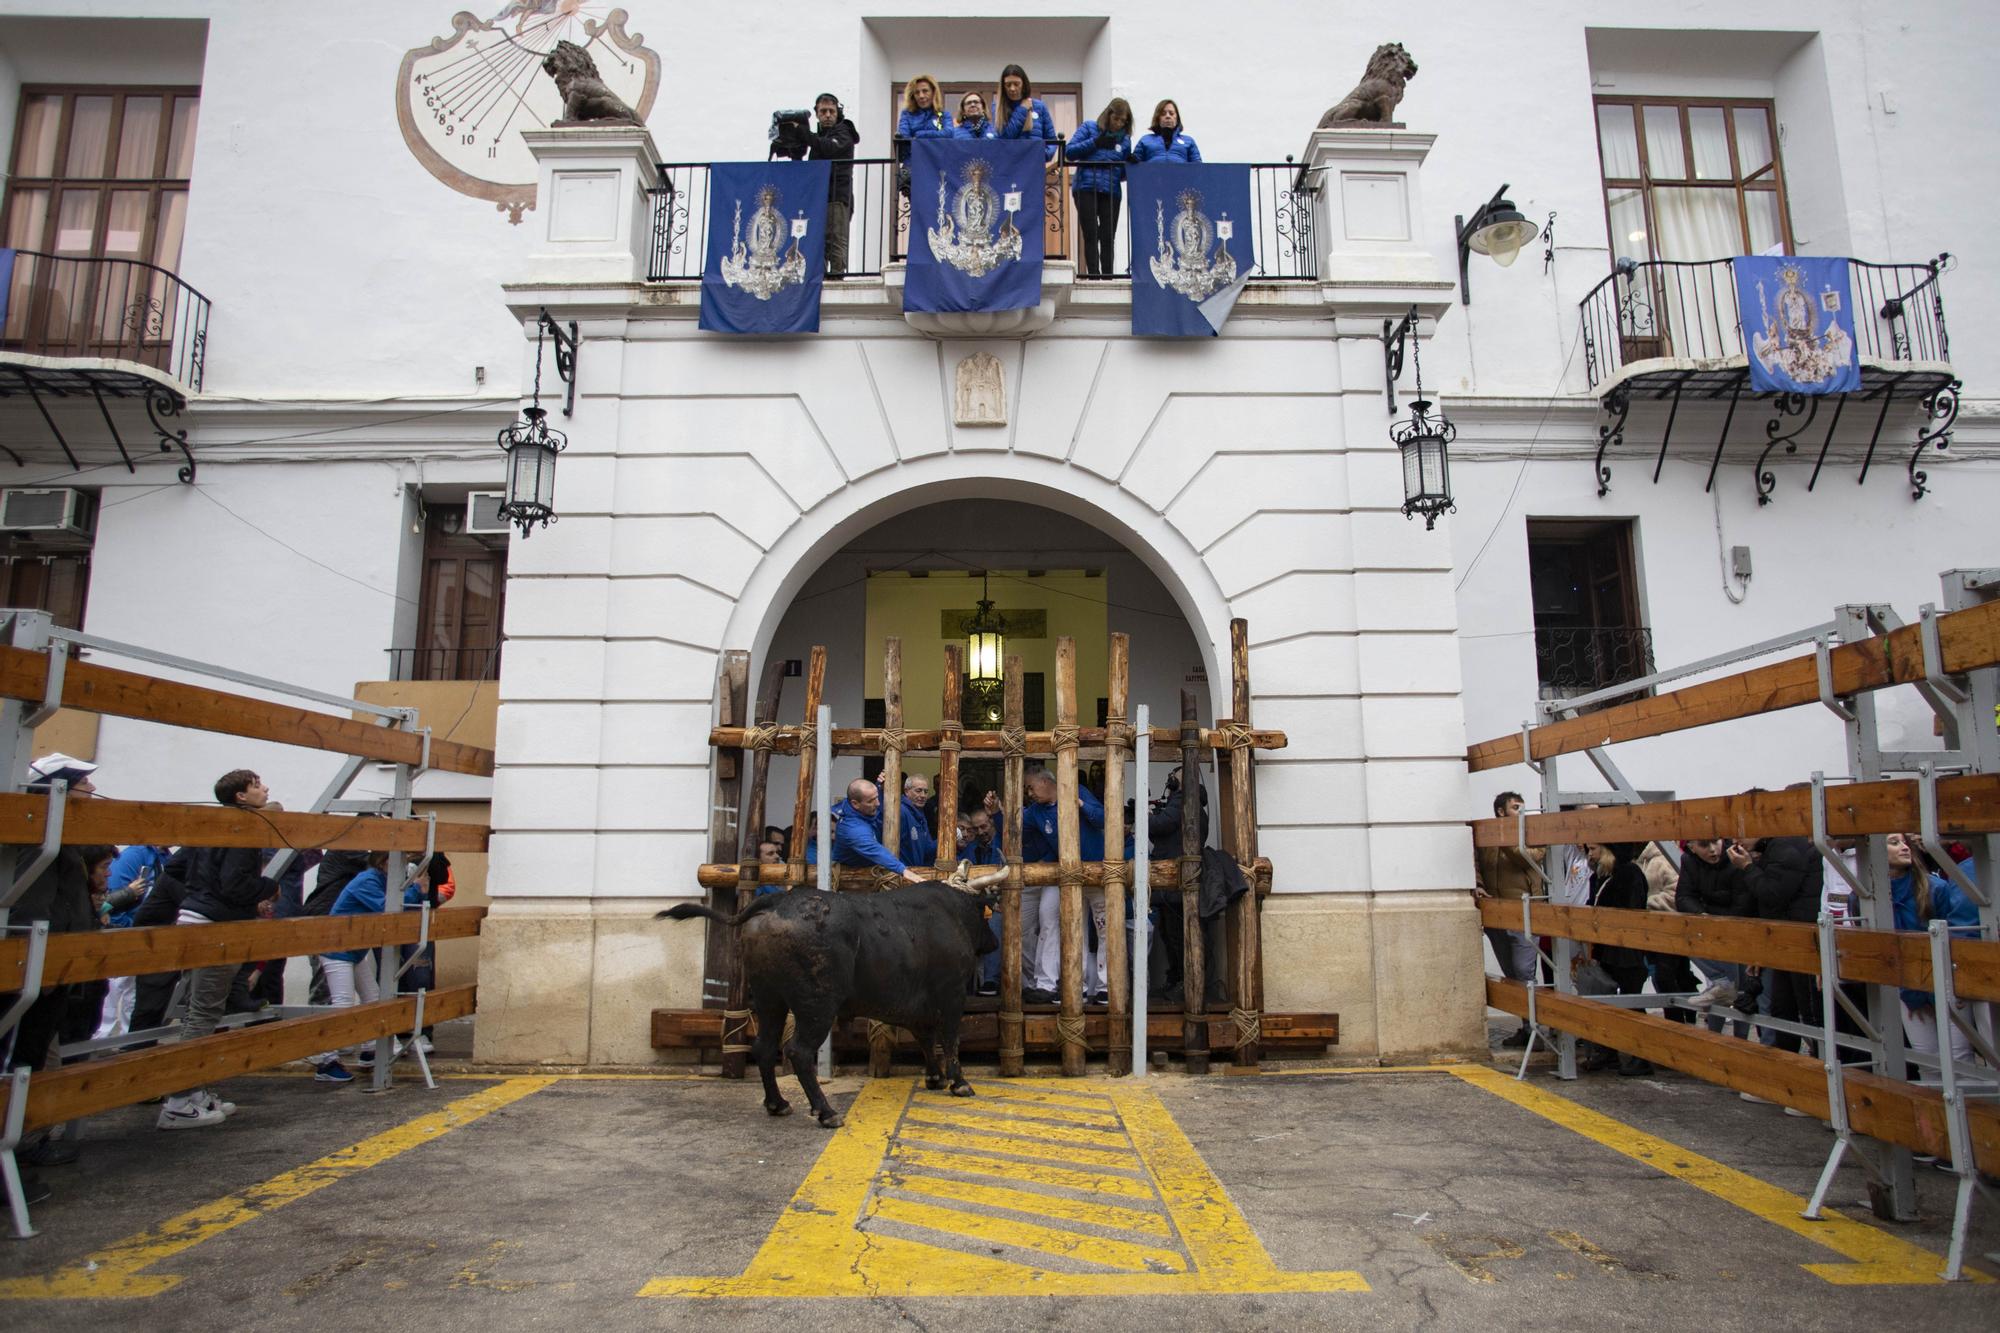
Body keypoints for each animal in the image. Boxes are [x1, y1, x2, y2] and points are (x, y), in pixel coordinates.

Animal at [664, 872, 1008, 1120]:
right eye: (985, 915)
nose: (993, 942)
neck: (953, 912)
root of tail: (778, 902)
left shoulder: (916, 1008)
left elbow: (925, 1037)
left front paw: (934, 1078)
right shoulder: (951, 995)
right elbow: (949, 1038)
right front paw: (959, 1082)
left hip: (769, 998)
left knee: (764, 1047)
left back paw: (778, 1104)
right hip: (816, 1005)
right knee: (799, 1051)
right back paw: (826, 1111)